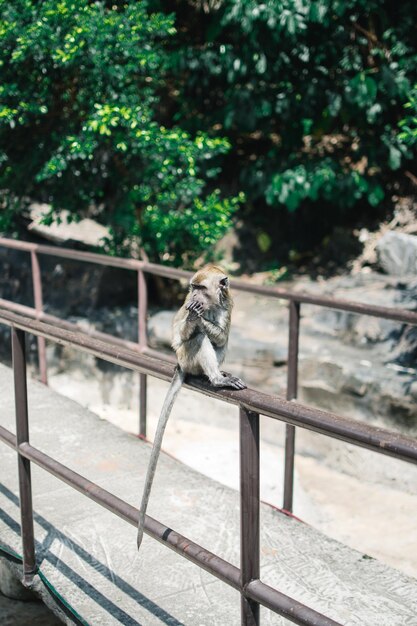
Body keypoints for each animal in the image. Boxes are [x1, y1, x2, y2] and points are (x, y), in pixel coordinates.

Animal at [138, 264, 245, 544]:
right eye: (193, 288)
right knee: (197, 340)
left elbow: (222, 337)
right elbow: (181, 332)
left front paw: (202, 317)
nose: (195, 298)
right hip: (186, 358)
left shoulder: (229, 303)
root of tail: (181, 365)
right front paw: (195, 317)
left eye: (201, 288)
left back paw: (218, 375)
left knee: (217, 343)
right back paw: (217, 379)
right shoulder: (186, 308)